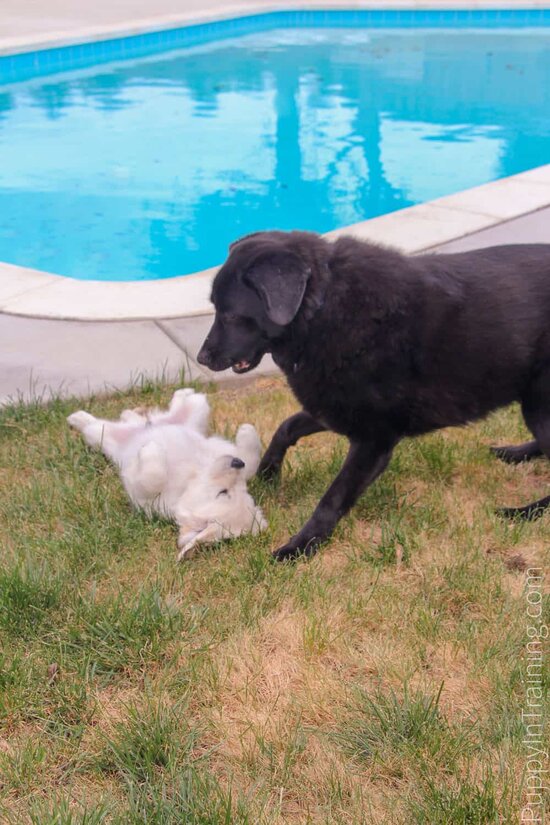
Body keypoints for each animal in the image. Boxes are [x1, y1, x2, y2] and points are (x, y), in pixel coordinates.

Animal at [67, 388, 268, 560]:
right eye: (224, 492)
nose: (236, 462)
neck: (189, 480)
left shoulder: (141, 491)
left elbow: (153, 476)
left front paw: (151, 448)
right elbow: (250, 463)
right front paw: (247, 430)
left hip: (100, 436)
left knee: (95, 426)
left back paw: (80, 418)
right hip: (197, 408)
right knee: (181, 404)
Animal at [198, 232, 550, 560]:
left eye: (230, 315)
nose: (202, 358)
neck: (322, 310)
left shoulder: (373, 440)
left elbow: (332, 498)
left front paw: (299, 546)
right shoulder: (332, 407)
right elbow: (286, 427)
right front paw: (268, 474)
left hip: (537, 404)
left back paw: (525, 511)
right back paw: (516, 453)